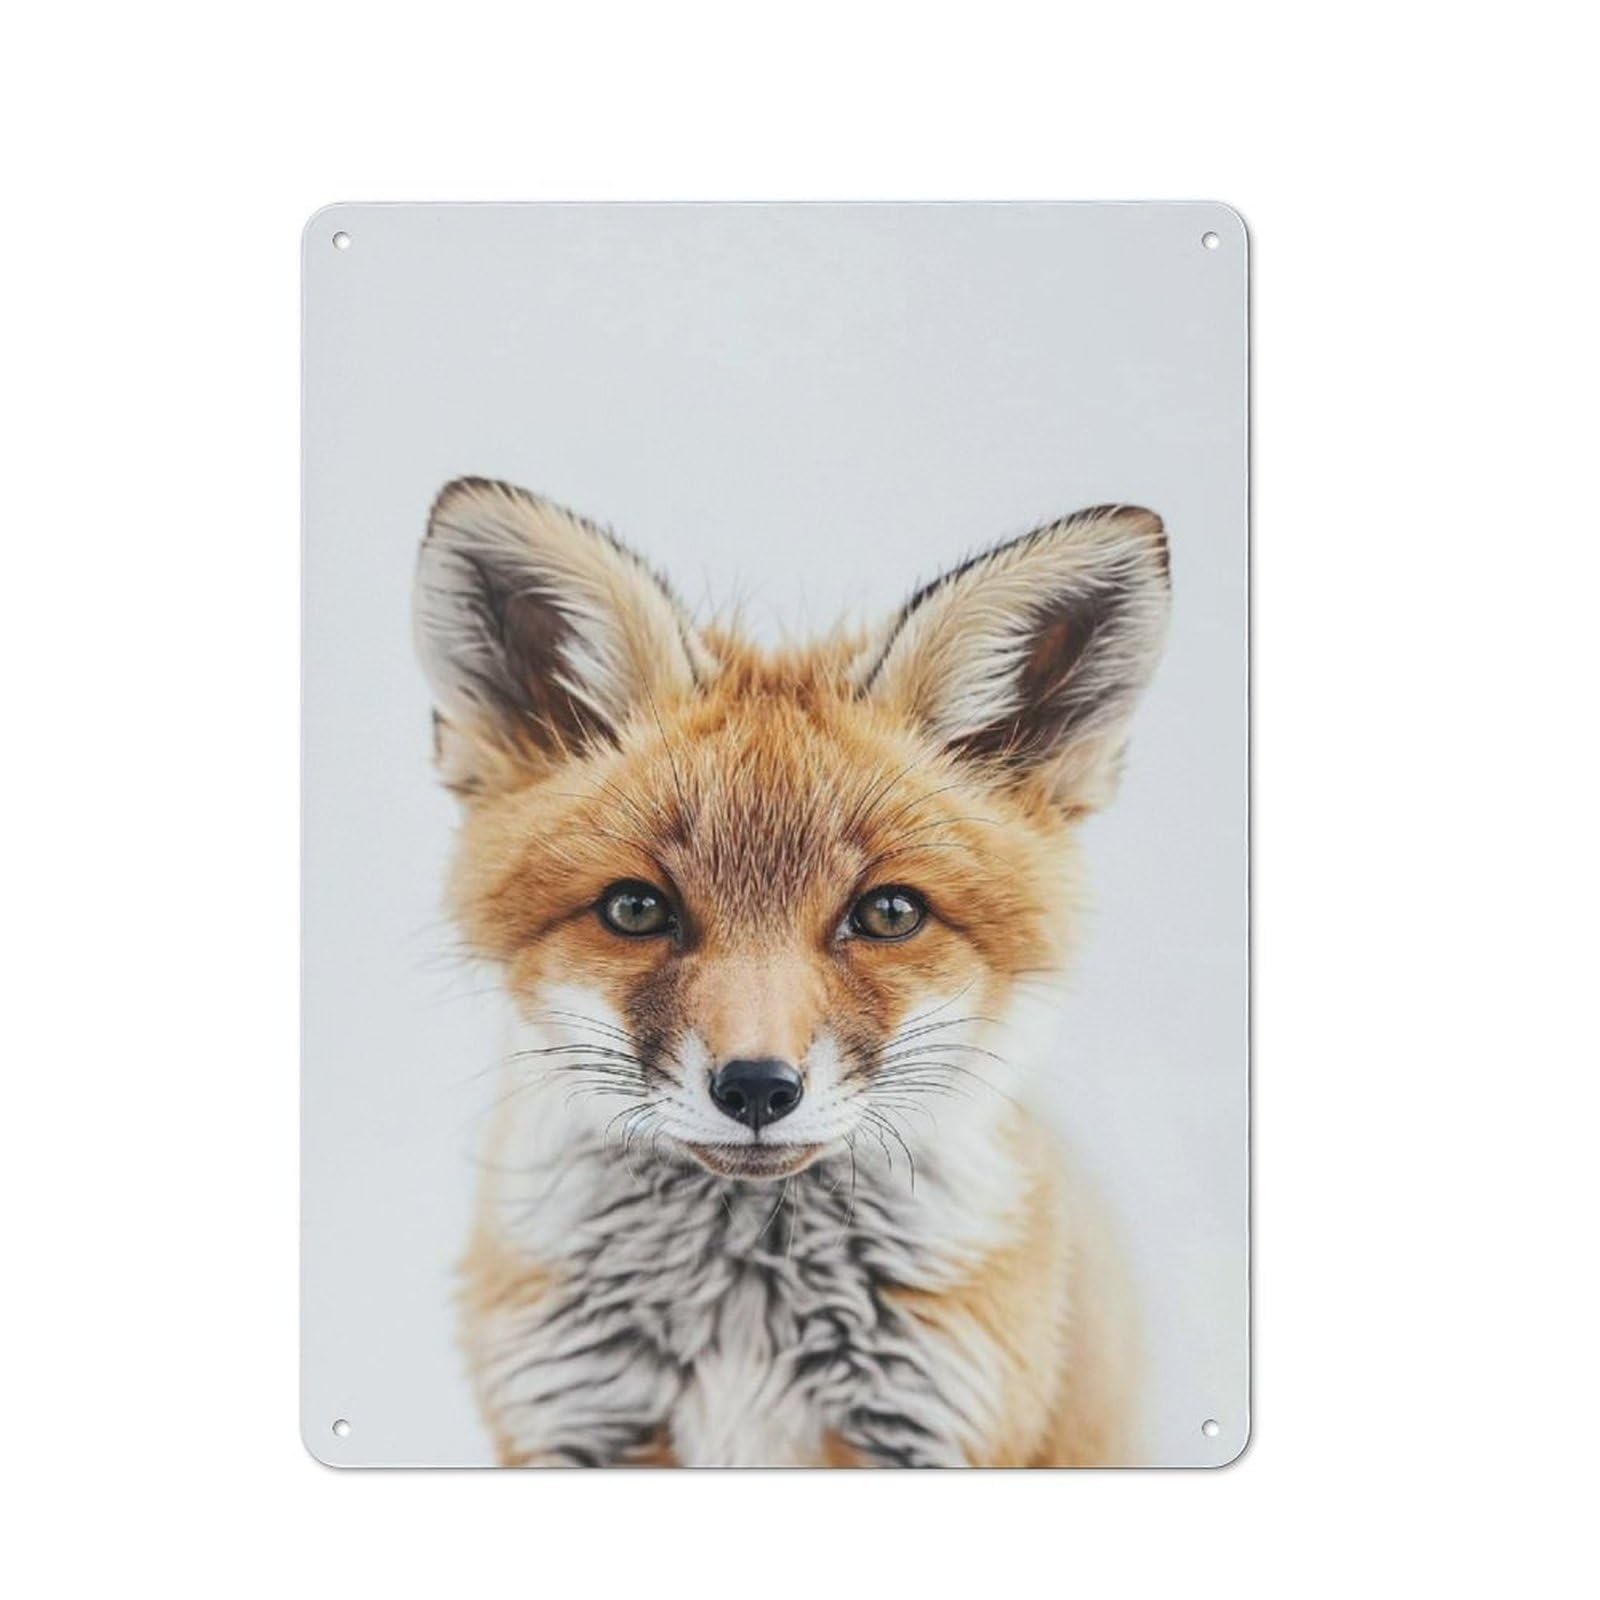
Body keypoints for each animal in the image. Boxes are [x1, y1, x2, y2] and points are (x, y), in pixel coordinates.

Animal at [412, 475, 1170, 1467]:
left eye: (889, 914)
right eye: (636, 909)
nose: (757, 1089)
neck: (746, 1321)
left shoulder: (931, 1420)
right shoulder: (576, 1416)